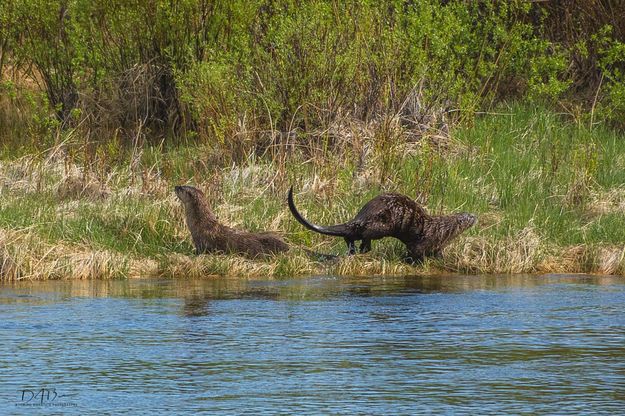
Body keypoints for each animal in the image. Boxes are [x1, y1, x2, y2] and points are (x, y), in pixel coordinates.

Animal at [288, 187, 478, 262]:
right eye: (468, 217)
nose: (475, 215)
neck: (441, 229)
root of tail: (361, 217)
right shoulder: (426, 240)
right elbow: (416, 252)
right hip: (379, 225)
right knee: (364, 236)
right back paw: (364, 250)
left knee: (350, 236)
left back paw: (352, 249)